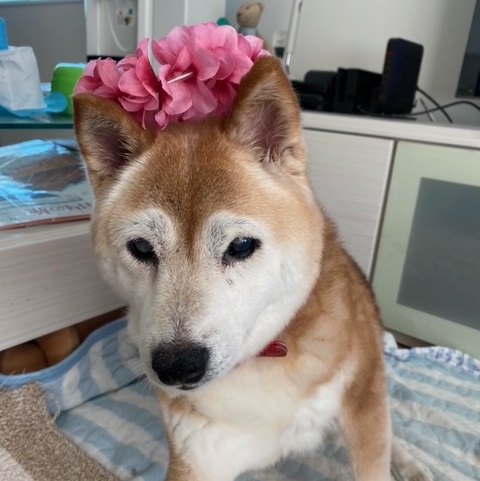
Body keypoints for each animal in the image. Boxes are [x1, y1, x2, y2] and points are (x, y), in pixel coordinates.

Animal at [74, 56, 432, 481]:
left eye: (241, 246)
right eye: (142, 248)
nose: (177, 366)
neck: (266, 358)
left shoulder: (362, 402)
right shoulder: (198, 451)